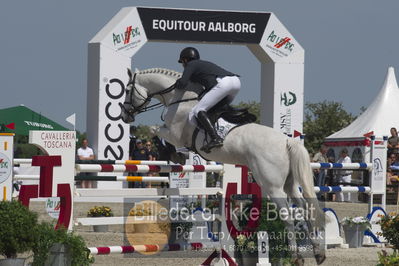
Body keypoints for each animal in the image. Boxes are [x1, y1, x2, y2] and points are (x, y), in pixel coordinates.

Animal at [122, 67, 328, 264]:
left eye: (127, 90)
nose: (125, 116)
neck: (179, 98)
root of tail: (287, 141)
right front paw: (177, 155)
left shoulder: (174, 133)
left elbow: (155, 131)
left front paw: (173, 154)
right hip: (290, 184)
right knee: (305, 208)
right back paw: (318, 253)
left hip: (273, 186)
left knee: (287, 215)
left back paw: (296, 256)